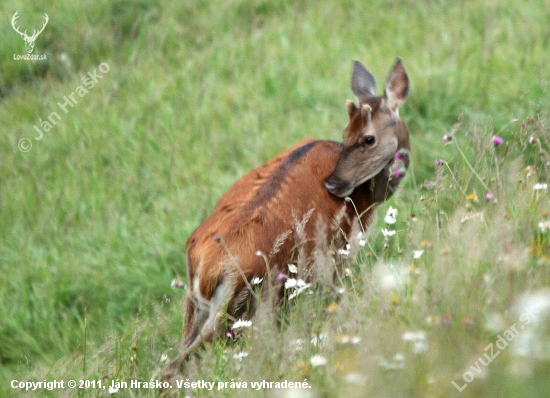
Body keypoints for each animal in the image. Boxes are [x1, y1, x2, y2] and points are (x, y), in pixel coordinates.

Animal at [162, 59, 412, 382]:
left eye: (367, 138)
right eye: (346, 134)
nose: (334, 185)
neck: (367, 197)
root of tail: (205, 269)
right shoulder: (338, 248)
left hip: (197, 304)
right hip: (241, 301)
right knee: (177, 363)